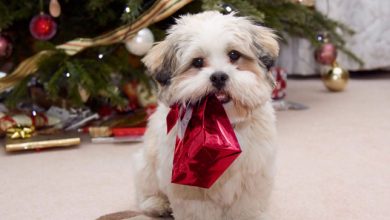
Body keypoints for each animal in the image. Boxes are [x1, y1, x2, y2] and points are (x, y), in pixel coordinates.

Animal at [135, 10, 280, 220]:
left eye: (234, 55)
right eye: (197, 62)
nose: (219, 76)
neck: (222, 125)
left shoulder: (252, 177)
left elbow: (246, 209)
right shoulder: (190, 188)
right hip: (145, 164)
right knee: (146, 191)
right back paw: (157, 204)